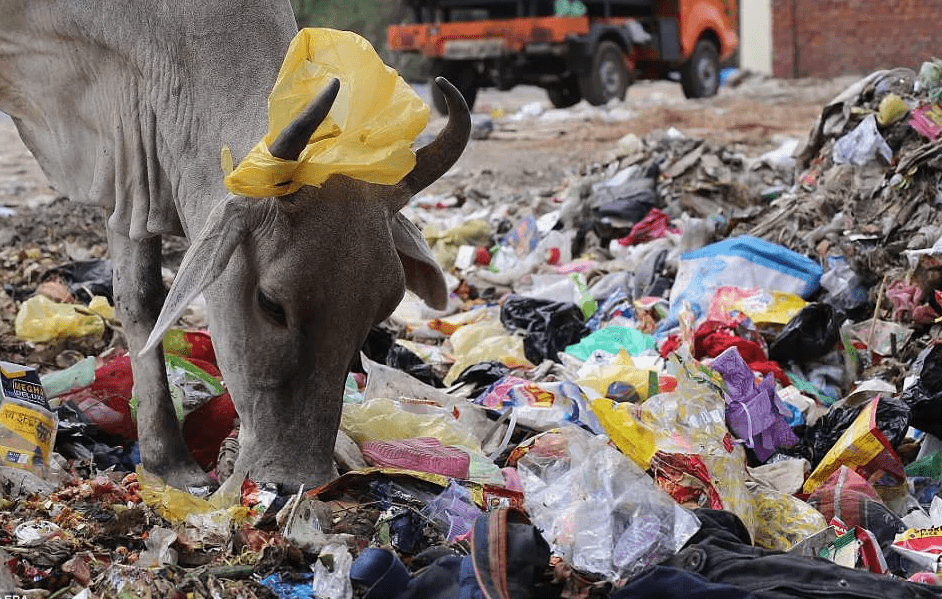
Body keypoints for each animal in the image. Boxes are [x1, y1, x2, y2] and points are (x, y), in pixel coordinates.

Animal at [0, 1, 472, 492]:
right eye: (271, 303)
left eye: (380, 311)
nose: (297, 482)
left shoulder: (130, 154)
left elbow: (139, 297)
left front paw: (165, 462)